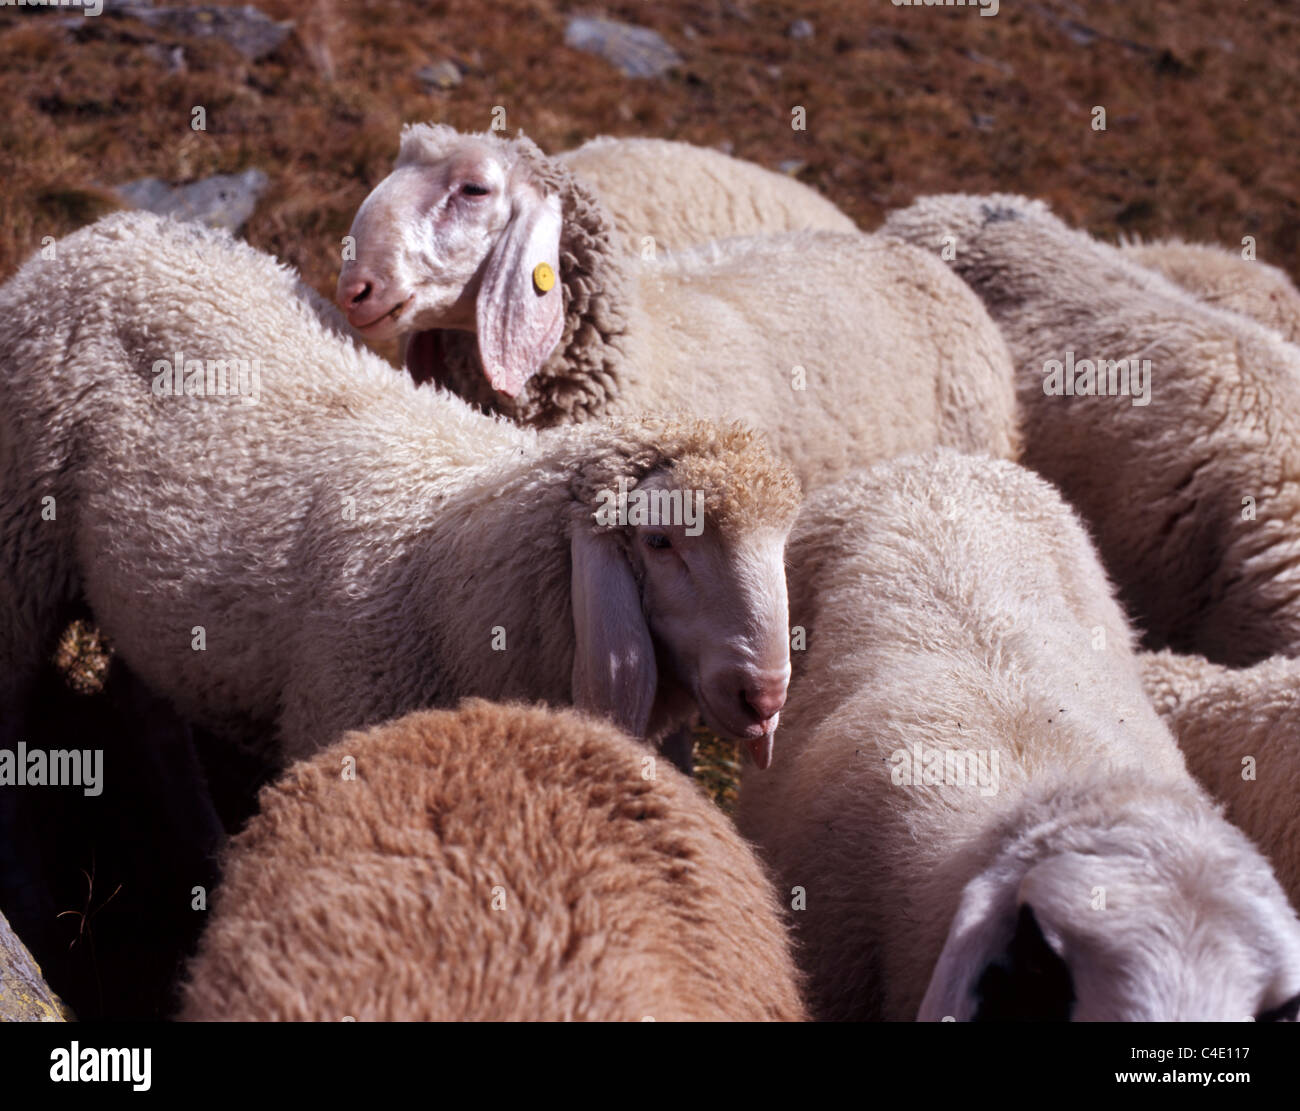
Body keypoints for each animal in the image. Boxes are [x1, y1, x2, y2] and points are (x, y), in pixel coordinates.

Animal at [0, 211, 800, 771]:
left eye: (782, 543)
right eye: (660, 540)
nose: (763, 697)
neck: (454, 567)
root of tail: (106, 229)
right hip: (20, 556)